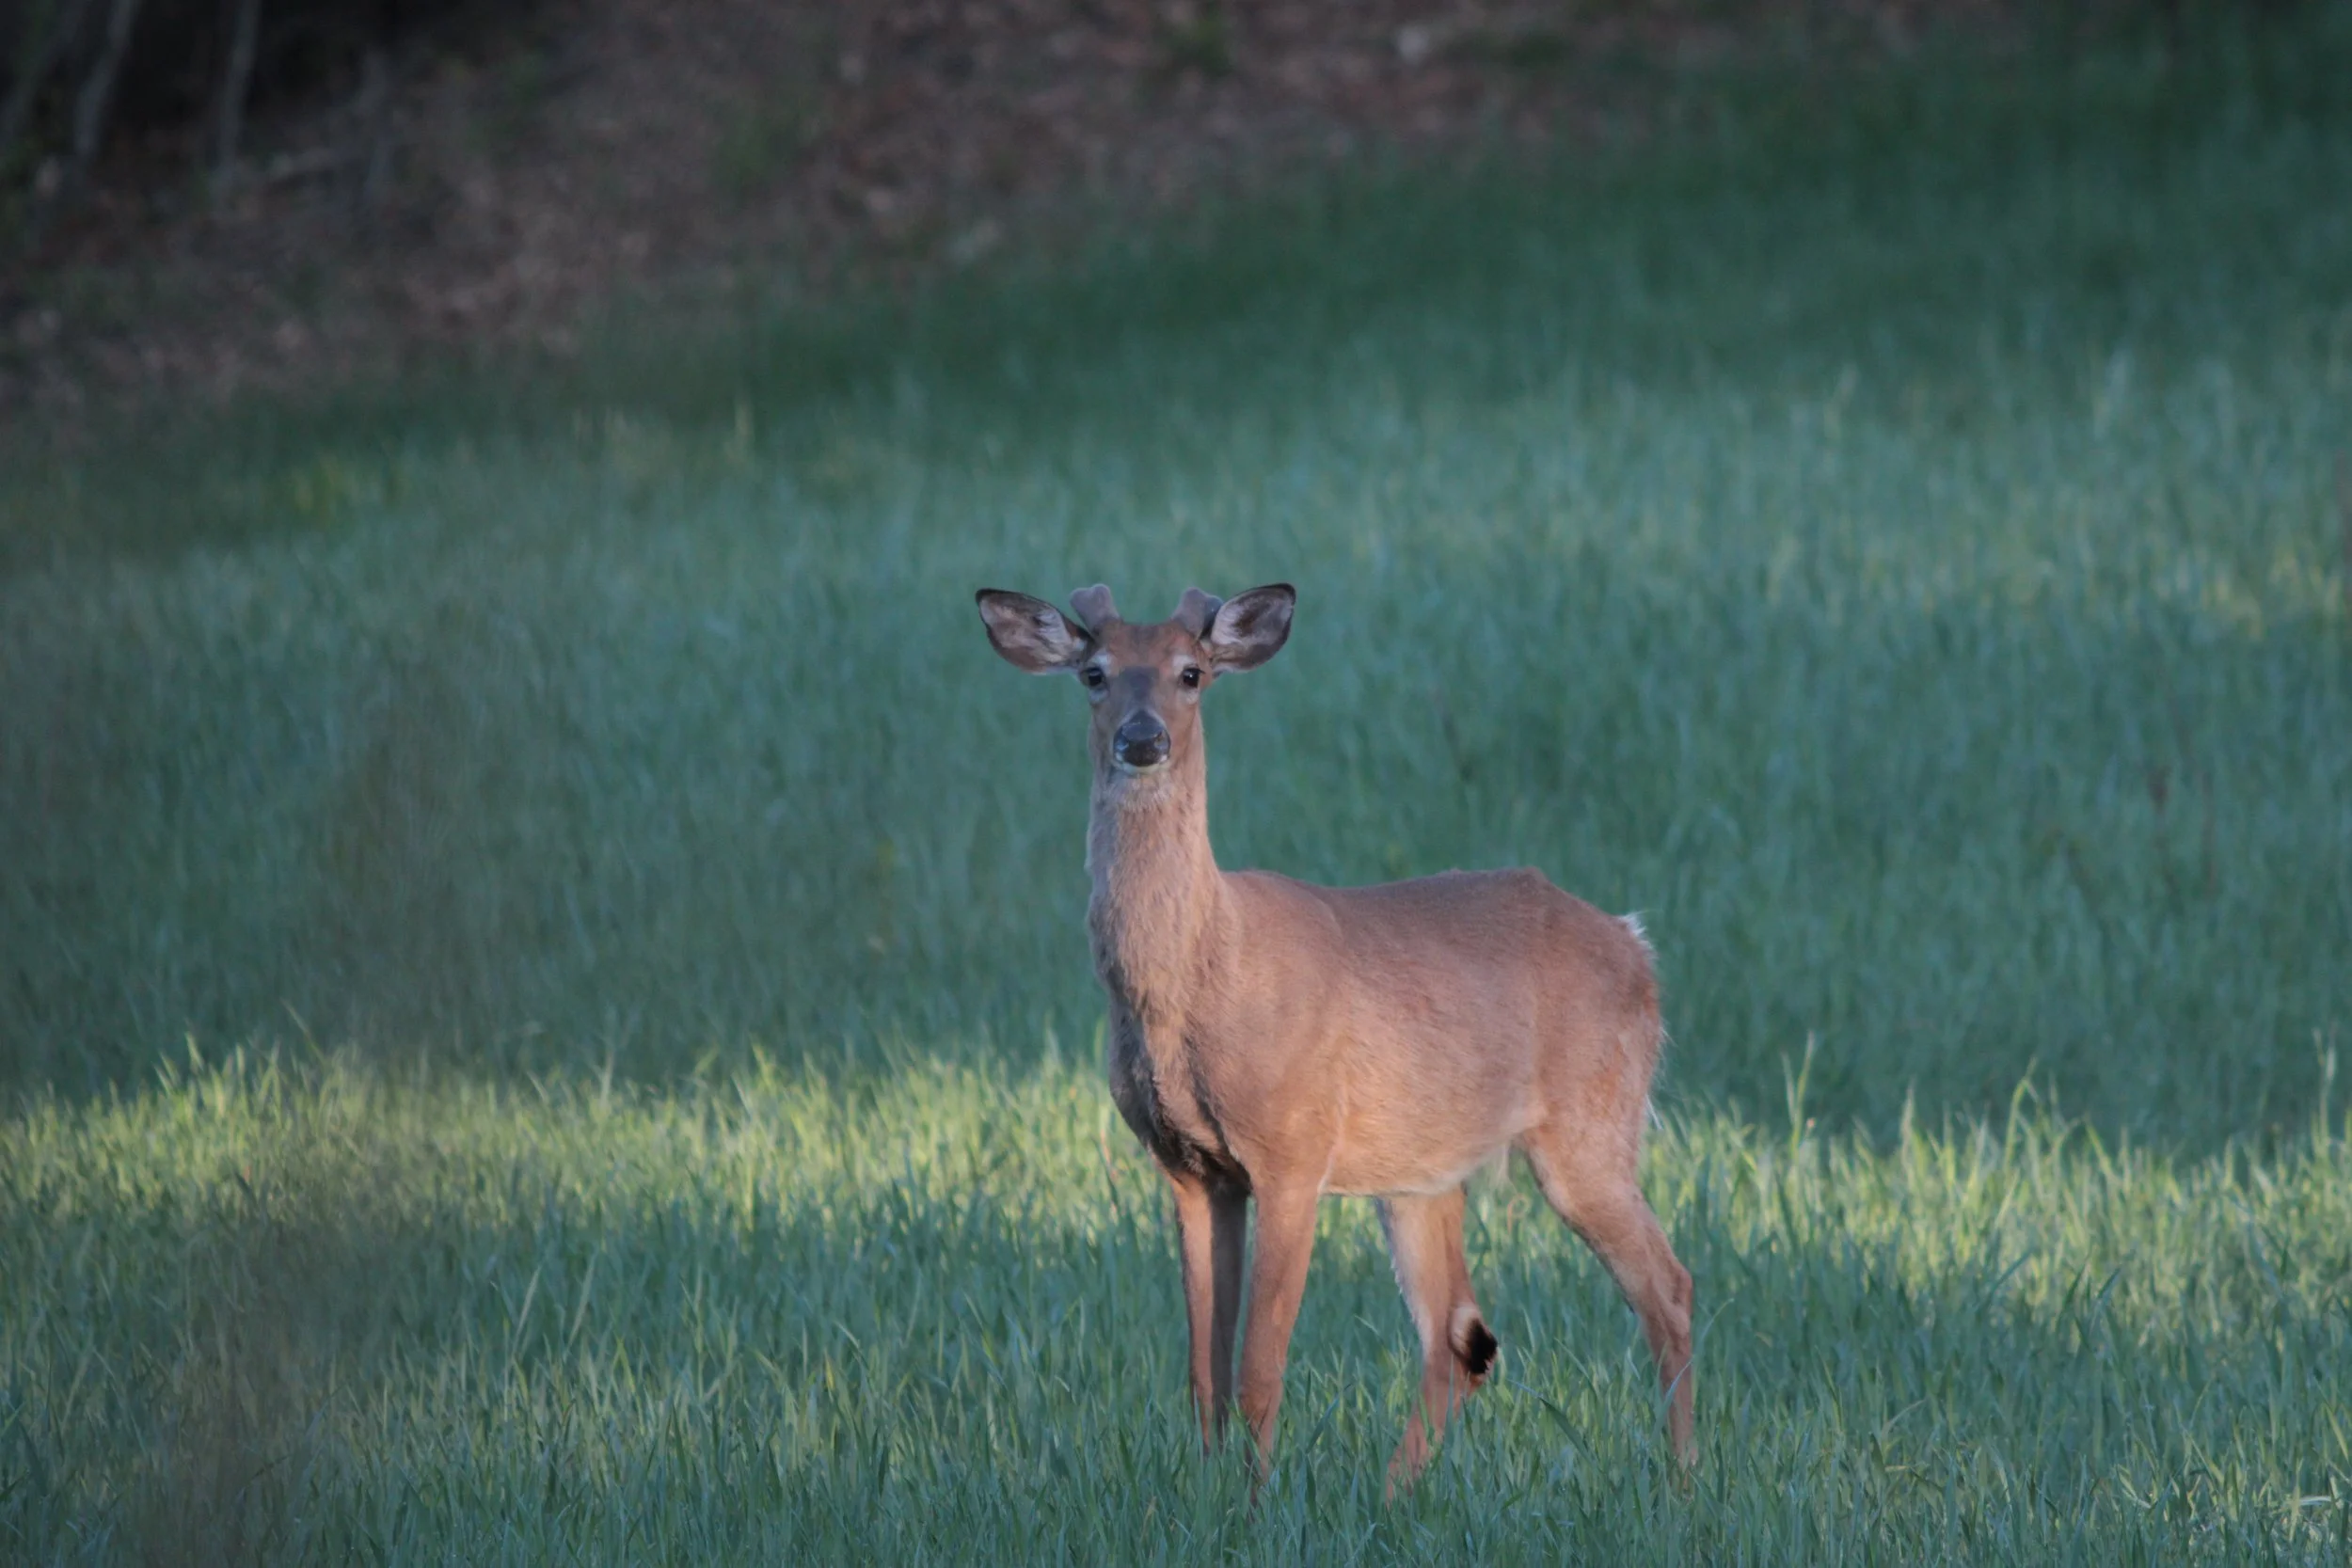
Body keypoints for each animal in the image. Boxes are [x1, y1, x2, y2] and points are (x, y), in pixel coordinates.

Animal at [974, 581, 1695, 1486]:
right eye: (1094, 672)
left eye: (1191, 672)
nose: (1144, 740)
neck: (1202, 975)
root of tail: (1638, 947)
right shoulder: (1189, 1167)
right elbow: (1203, 1372)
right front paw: (1207, 1494)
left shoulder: (1293, 1148)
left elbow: (1259, 1368)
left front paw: (1256, 1498)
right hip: (1421, 1171)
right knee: (1461, 1335)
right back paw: (1394, 1492)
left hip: (1590, 1128)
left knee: (1669, 1289)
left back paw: (1682, 1482)